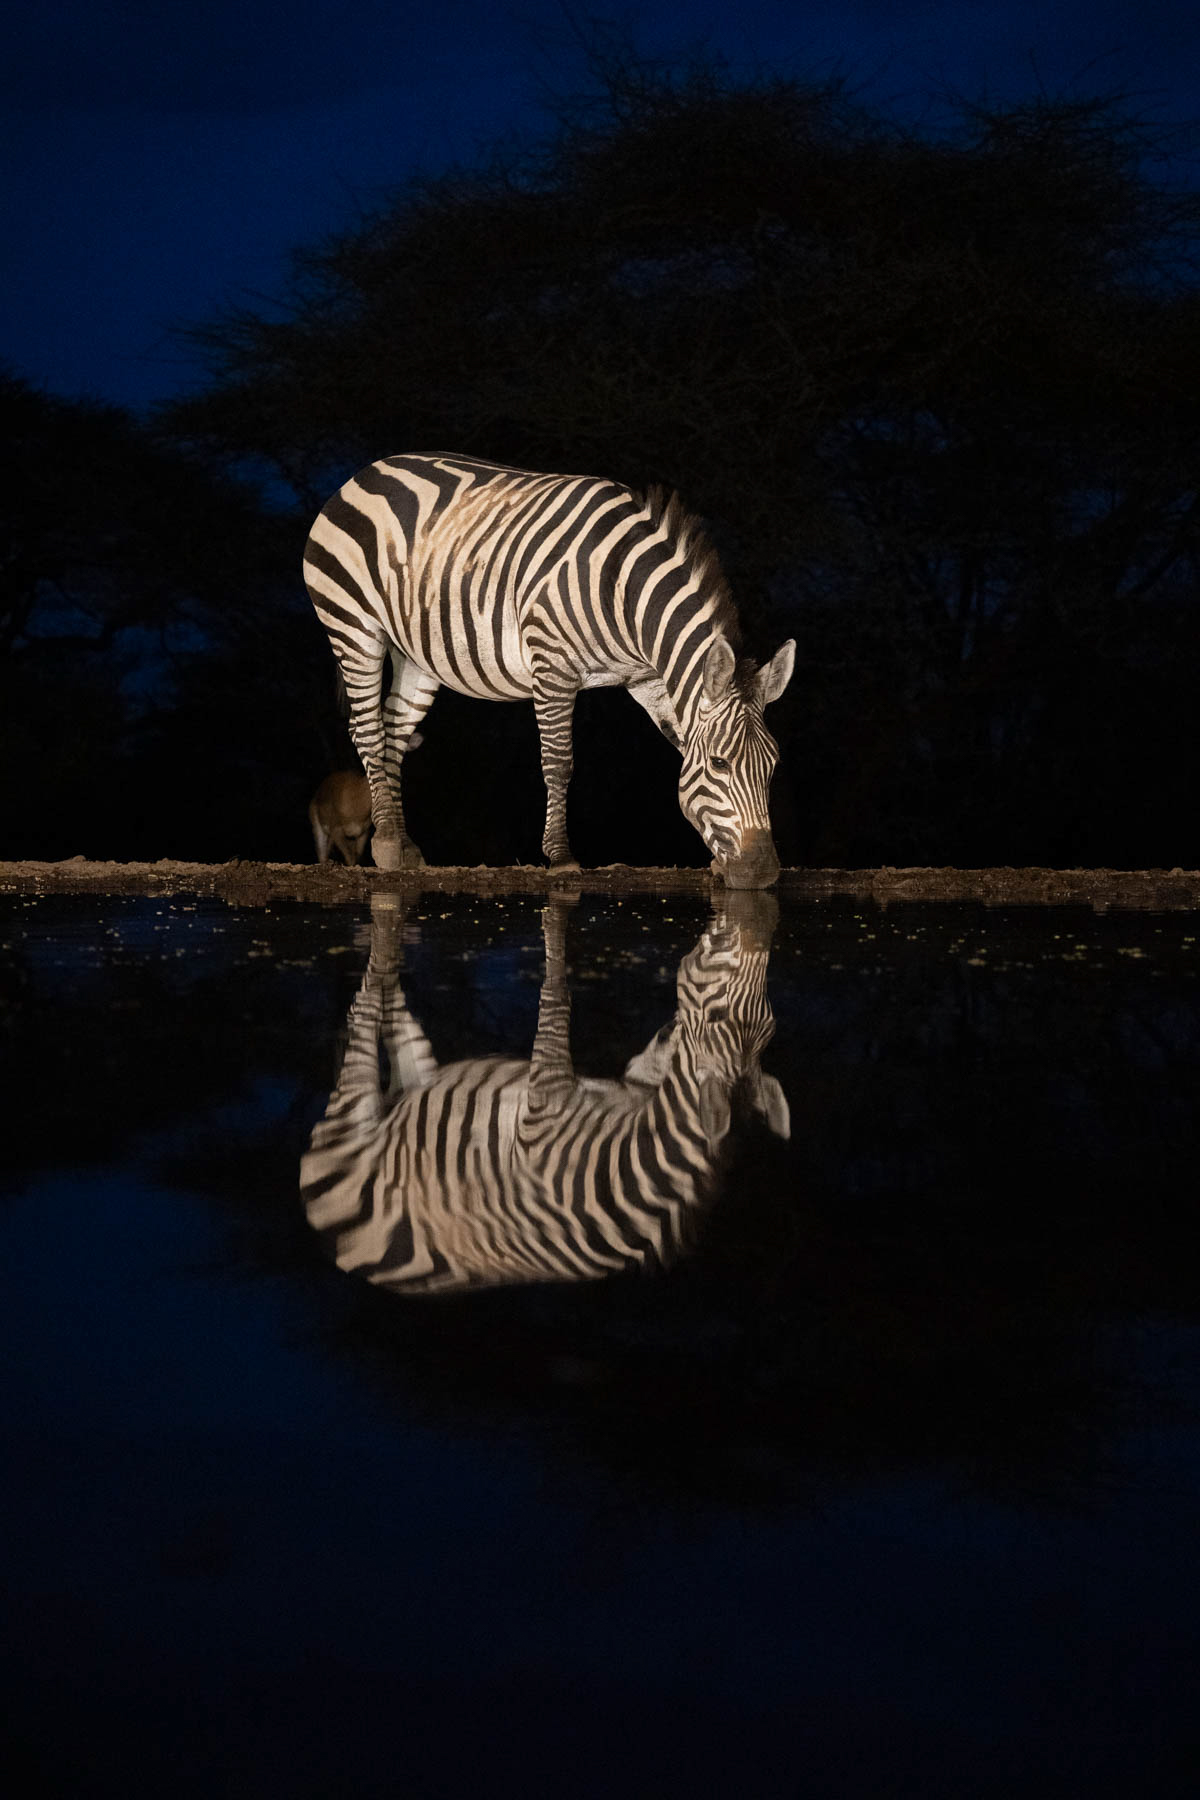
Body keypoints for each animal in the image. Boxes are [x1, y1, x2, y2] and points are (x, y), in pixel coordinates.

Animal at [300, 893, 790, 1295]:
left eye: (767, 1026)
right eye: (721, 1012)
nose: (669, 1026)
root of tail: (342, 1251)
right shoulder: (543, 1106)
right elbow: (558, 996)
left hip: (412, 1087)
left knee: (392, 1019)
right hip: (353, 1121)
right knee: (364, 1011)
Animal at [303, 454, 795, 888]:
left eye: (773, 765)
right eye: (720, 763)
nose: (762, 874)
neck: (623, 590)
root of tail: (365, 472)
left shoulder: (649, 680)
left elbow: (682, 748)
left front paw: (717, 862)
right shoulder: (553, 665)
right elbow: (559, 762)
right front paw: (560, 857)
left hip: (415, 651)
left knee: (394, 732)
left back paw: (402, 846)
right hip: (353, 626)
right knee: (368, 730)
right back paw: (386, 843)